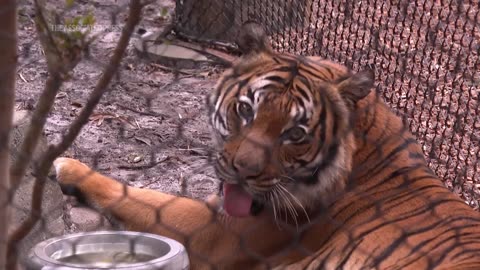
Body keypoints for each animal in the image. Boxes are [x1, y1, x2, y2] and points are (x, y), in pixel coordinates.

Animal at [51, 23, 480, 270]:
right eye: (246, 110)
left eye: (296, 134)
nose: (243, 170)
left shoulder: (215, 233)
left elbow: (137, 195)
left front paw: (66, 164)